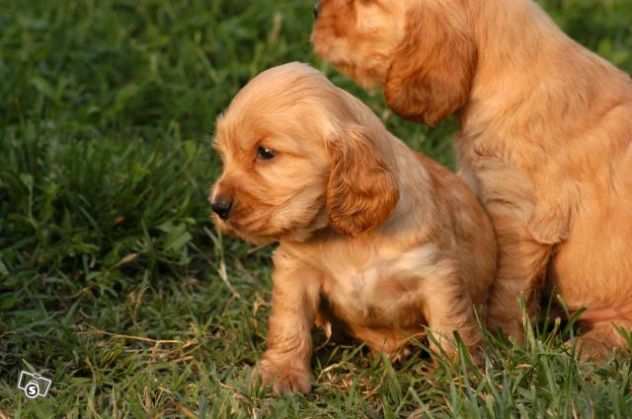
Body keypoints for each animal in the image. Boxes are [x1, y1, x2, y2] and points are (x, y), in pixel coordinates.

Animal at [210, 62, 496, 394]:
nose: (217, 206)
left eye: (266, 152)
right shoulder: (295, 271)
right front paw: (281, 373)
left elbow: (450, 327)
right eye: (223, 156)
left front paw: (457, 374)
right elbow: (289, 322)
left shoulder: (436, 273)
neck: (346, 238)